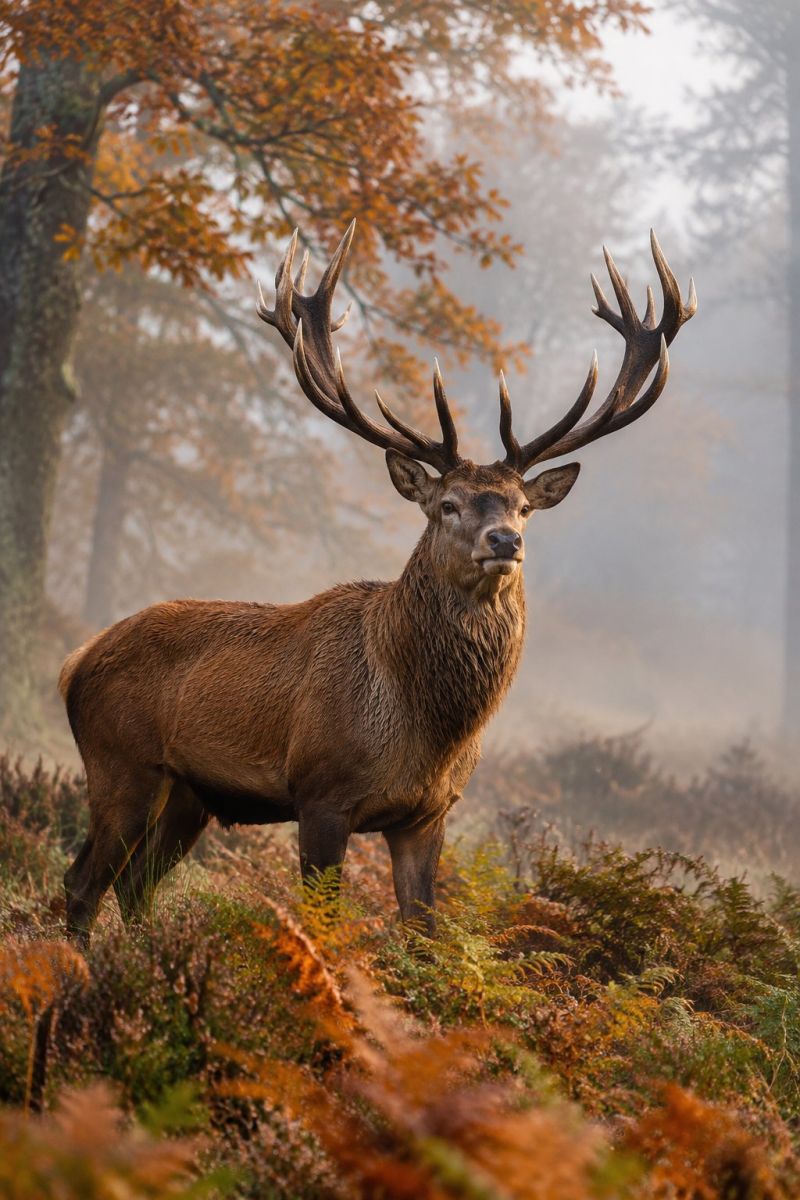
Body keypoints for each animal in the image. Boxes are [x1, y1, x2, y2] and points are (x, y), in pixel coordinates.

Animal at [59, 222, 696, 943]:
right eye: (447, 504)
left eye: (522, 506)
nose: (505, 541)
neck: (425, 730)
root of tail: (75, 662)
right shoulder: (321, 794)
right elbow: (322, 927)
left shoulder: (428, 815)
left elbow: (424, 932)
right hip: (121, 760)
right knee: (85, 881)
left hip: (190, 793)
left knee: (134, 884)